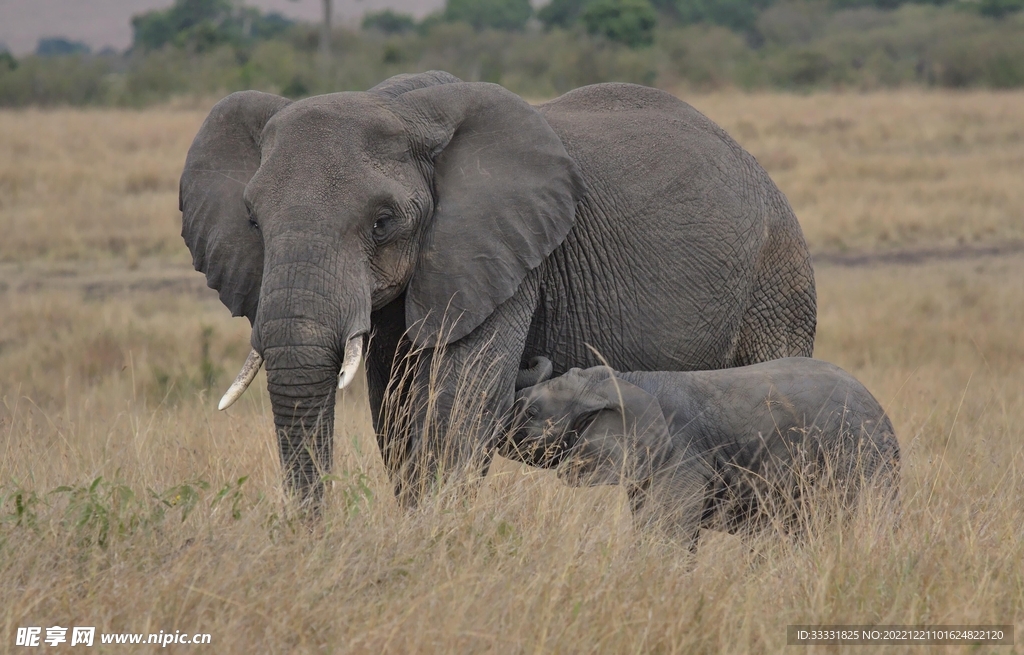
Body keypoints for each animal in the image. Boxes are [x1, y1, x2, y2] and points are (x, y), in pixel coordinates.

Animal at [179, 70, 817, 510]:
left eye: (383, 222)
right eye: (253, 222)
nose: (314, 535)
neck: (401, 106)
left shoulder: (504, 255)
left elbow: (458, 401)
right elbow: (397, 410)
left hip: (778, 277)